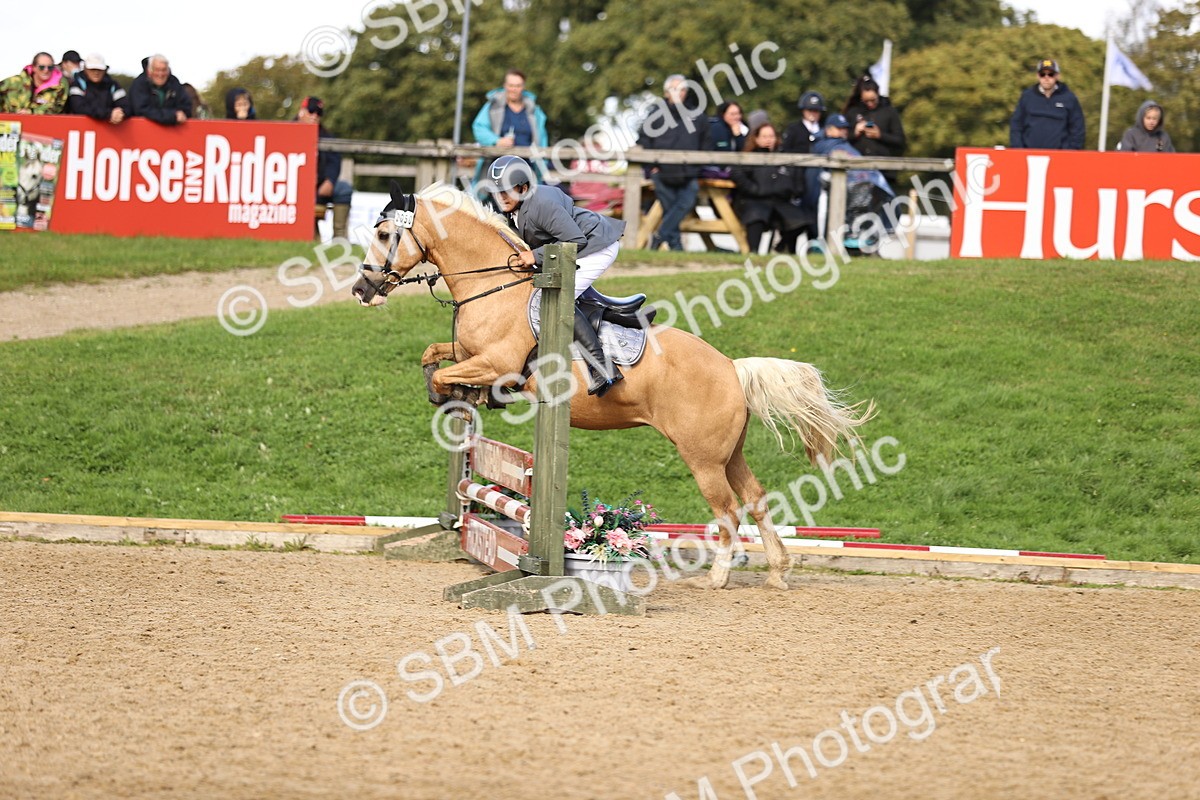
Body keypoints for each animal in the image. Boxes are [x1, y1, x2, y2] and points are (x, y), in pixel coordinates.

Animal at [352, 182, 872, 590]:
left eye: (384, 234)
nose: (361, 290)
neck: (494, 285)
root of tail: (731, 367)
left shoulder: (496, 364)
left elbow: (445, 373)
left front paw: (448, 397)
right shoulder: (468, 355)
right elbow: (433, 356)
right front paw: (456, 399)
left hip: (703, 458)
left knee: (729, 511)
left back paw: (718, 577)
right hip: (730, 453)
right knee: (757, 499)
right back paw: (779, 572)